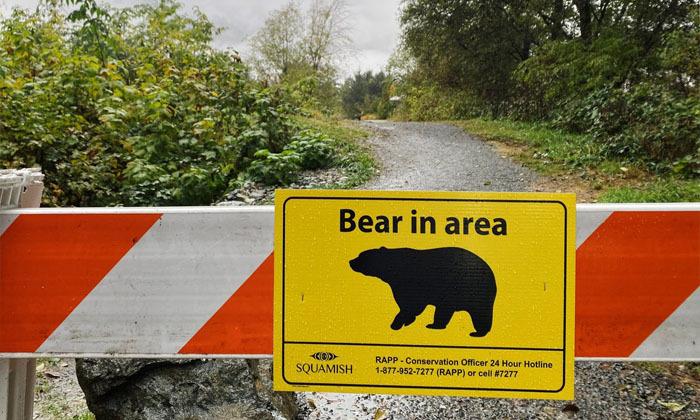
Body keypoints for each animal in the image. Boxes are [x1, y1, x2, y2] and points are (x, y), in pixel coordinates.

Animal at [349, 247, 496, 337]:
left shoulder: (412, 282)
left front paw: (398, 322)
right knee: (445, 311)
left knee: (480, 314)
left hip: (473, 292)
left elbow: (412, 304)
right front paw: (405, 320)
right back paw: (436, 325)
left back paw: (477, 332)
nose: (351, 261)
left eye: (361, 256)